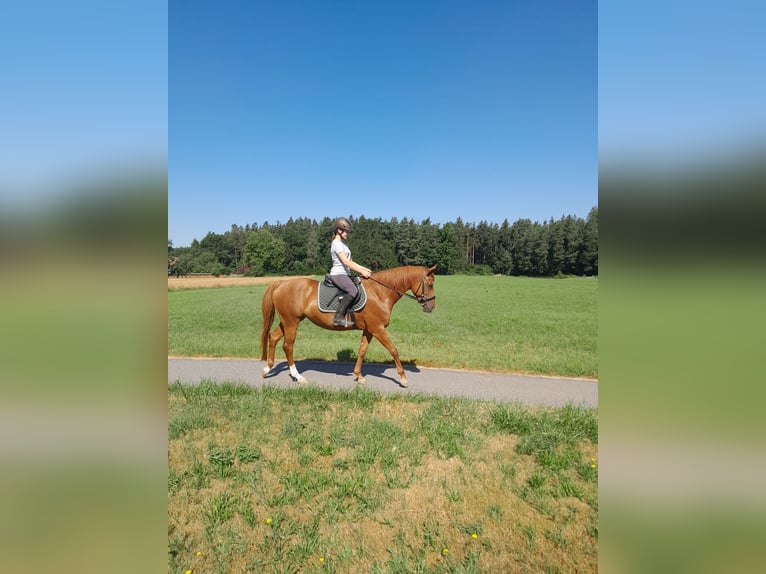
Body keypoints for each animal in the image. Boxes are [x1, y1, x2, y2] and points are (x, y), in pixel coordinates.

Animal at [260, 268, 438, 390]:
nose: (431, 307)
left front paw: (359, 376)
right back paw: (297, 376)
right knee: (288, 346)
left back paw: (268, 368)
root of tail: (281, 282)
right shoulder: (378, 329)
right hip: (291, 322)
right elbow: (393, 350)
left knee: (273, 337)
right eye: (430, 284)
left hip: (287, 322)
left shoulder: (369, 330)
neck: (380, 292)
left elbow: (362, 351)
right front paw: (403, 379)